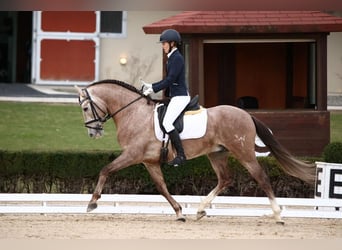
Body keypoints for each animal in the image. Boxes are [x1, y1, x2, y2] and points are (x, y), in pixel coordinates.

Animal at [76, 79, 316, 224]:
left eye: (86, 107)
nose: (93, 133)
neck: (133, 113)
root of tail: (246, 114)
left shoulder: (133, 155)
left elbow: (106, 169)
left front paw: (92, 202)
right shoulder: (149, 161)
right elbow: (162, 187)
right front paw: (179, 212)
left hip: (243, 153)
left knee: (261, 178)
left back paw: (278, 215)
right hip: (217, 154)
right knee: (225, 179)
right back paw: (200, 210)